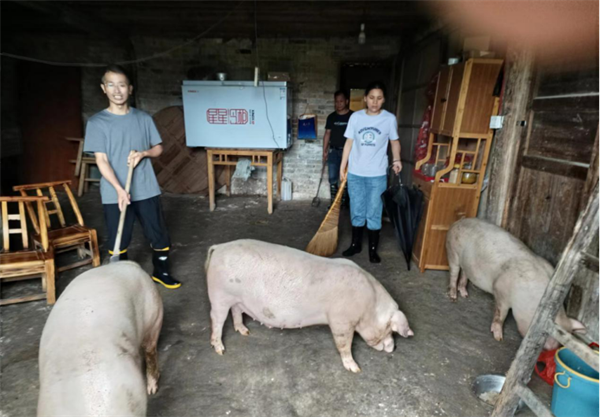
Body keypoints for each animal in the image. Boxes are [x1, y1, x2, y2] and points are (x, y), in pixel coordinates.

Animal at [204, 239, 413, 373]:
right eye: (390, 330)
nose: (395, 348)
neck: (369, 305)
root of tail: (218, 247)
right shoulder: (341, 321)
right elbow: (344, 344)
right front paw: (355, 369)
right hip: (219, 295)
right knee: (216, 319)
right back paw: (220, 349)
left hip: (236, 298)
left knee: (236, 311)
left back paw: (245, 332)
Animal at [446, 218, 585, 350]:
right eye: (543, 334)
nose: (551, 347)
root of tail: (458, 222)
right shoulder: (500, 290)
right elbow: (500, 314)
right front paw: (498, 338)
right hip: (452, 250)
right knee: (454, 273)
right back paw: (453, 298)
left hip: (466, 263)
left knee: (464, 273)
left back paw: (465, 295)